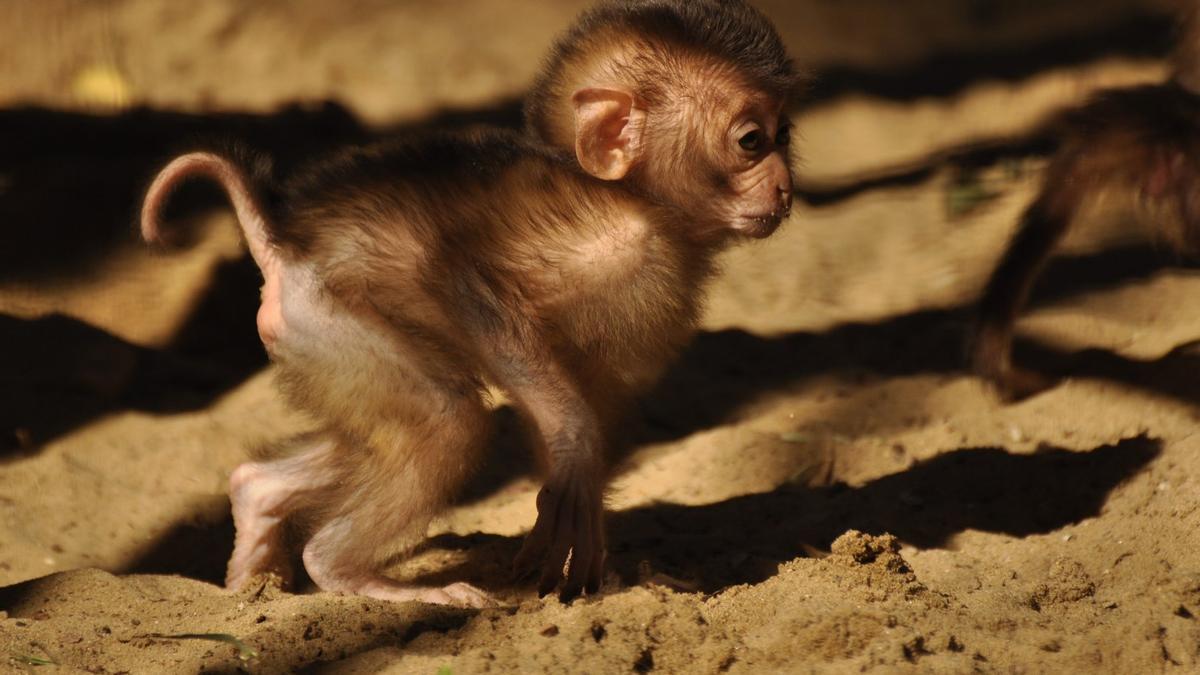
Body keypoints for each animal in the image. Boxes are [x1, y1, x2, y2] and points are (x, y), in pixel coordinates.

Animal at [142, 0, 796, 600]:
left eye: (782, 136)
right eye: (750, 141)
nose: (786, 187)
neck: (638, 201)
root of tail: (283, 249)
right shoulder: (605, 247)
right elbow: (462, 280)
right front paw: (574, 451)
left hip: (317, 350)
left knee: (354, 440)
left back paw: (256, 530)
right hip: (329, 322)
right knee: (447, 418)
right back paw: (354, 575)